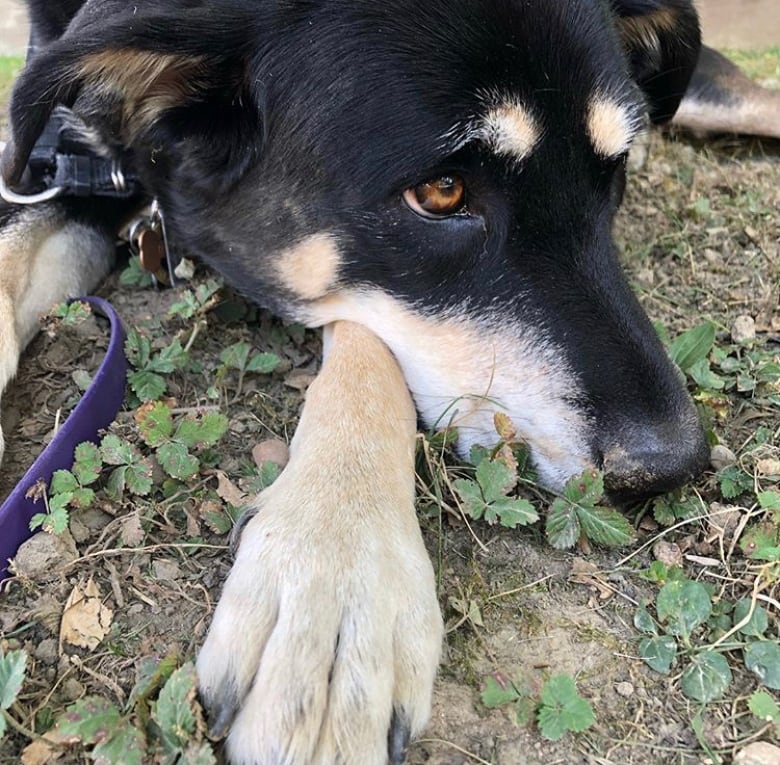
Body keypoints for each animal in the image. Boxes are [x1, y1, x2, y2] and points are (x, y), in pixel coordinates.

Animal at [1, 1, 780, 764]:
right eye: (441, 191)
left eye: (610, 175)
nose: (673, 462)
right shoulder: (65, 165)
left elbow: (367, 349)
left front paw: (339, 574)